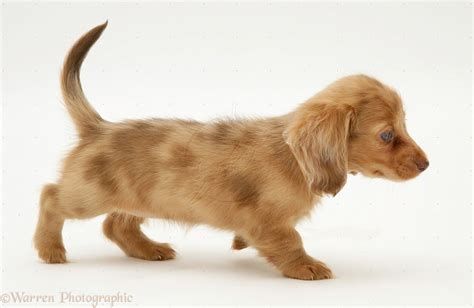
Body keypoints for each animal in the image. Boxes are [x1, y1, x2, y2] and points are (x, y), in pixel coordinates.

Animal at [32, 22, 426, 280]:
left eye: (404, 125)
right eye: (387, 135)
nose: (426, 164)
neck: (294, 159)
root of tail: (99, 127)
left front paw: (242, 245)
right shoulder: (268, 222)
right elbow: (290, 240)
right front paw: (305, 265)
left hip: (138, 199)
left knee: (116, 225)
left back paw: (147, 249)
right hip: (88, 195)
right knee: (51, 197)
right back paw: (49, 249)